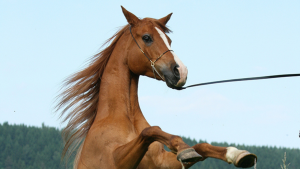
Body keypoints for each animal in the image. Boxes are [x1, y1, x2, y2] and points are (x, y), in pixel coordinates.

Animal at [56, 5, 258, 168]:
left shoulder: (162, 163)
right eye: (147, 37)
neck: (124, 121)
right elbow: (151, 130)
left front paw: (237, 154)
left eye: (169, 40)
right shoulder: (115, 161)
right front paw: (182, 147)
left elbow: (200, 146)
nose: (181, 72)